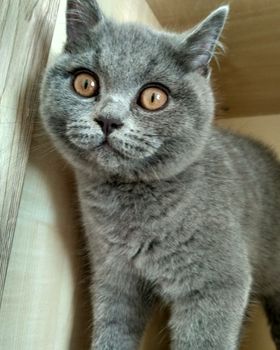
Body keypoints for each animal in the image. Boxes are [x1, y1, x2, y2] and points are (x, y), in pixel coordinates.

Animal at [40, 0, 280, 350]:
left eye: (154, 97)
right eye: (86, 83)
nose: (108, 120)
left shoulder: (219, 284)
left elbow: (205, 340)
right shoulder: (115, 278)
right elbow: (112, 331)